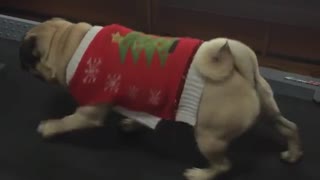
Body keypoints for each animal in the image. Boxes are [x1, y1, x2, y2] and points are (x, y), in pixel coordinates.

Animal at [20, 17, 302, 180]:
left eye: (27, 55)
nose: (20, 61)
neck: (69, 43)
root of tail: (241, 70)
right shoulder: (143, 98)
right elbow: (140, 113)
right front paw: (131, 124)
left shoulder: (89, 111)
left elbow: (66, 122)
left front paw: (49, 127)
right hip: (268, 111)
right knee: (289, 127)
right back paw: (292, 154)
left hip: (209, 137)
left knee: (224, 166)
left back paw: (200, 174)